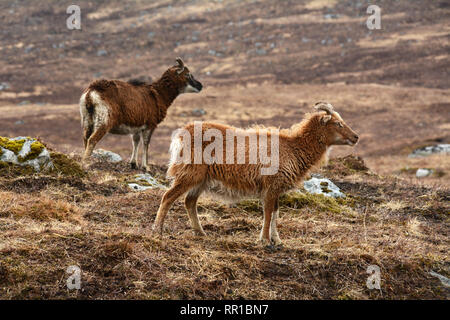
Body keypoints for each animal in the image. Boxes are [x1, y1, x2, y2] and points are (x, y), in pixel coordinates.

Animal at [153, 101, 360, 246]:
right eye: (338, 124)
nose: (356, 137)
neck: (294, 146)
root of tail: (182, 133)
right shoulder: (271, 186)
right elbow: (268, 213)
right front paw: (265, 241)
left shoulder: (276, 189)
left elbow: (275, 213)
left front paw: (277, 241)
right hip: (189, 173)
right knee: (168, 197)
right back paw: (157, 230)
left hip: (201, 179)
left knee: (189, 202)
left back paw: (201, 233)